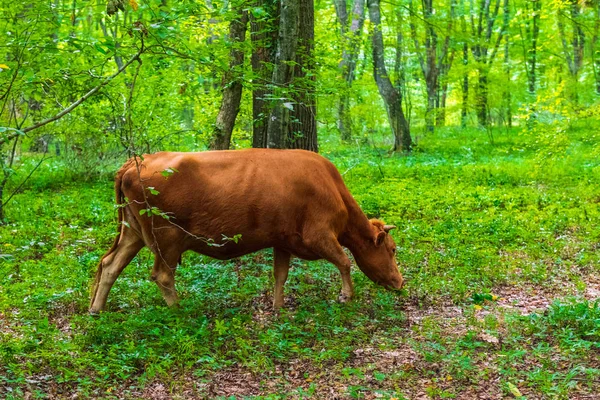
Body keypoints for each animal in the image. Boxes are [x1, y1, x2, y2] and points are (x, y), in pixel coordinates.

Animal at [89, 148, 406, 314]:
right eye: (392, 250)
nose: (400, 282)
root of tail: (137, 161)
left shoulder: (284, 240)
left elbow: (280, 274)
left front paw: (278, 307)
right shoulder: (318, 235)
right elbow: (344, 261)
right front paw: (346, 296)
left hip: (132, 232)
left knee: (110, 265)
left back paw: (96, 309)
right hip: (167, 238)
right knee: (162, 275)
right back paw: (181, 311)